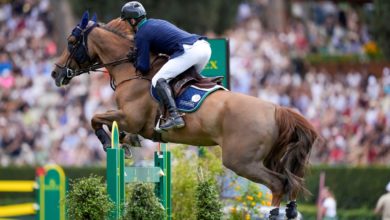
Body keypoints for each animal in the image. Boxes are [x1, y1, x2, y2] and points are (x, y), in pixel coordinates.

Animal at [51, 12, 320, 218]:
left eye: (71, 41)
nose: (55, 73)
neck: (132, 70)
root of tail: (277, 109)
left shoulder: (132, 117)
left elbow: (96, 118)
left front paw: (110, 144)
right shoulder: (132, 121)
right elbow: (118, 129)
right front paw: (127, 143)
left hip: (242, 161)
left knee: (278, 183)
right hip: (267, 158)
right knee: (290, 183)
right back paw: (291, 209)